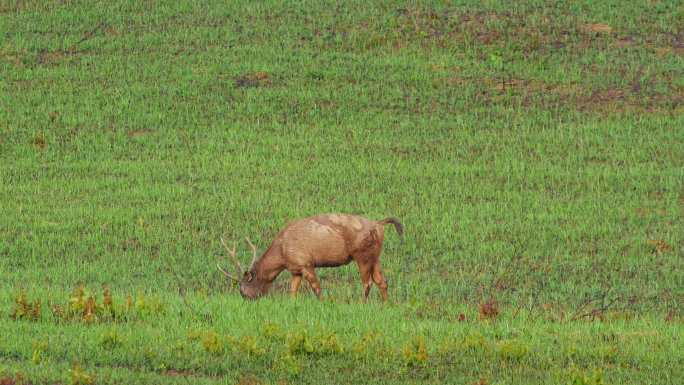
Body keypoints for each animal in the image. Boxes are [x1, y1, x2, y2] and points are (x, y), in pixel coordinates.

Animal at [218, 213, 400, 300]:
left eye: (242, 291)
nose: (247, 301)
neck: (282, 253)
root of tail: (379, 224)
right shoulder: (295, 269)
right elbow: (292, 292)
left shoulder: (305, 262)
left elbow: (317, 289)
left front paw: (324, 303)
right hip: (375, 256)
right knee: (382, 281)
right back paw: (386, 305)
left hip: (362, 255)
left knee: (367, 283)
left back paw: (362, 304)